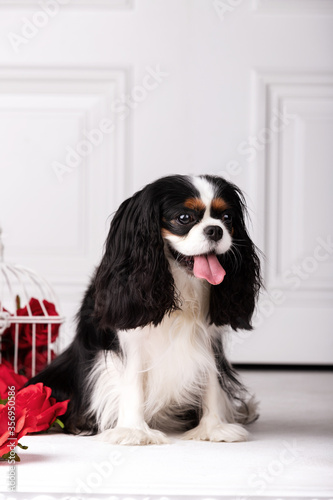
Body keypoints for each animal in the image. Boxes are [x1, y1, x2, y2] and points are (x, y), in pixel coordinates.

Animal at [28, 174, 260, 444]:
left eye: (227, 218)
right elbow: (133, 383)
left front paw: (214, 428)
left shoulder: (209, 341)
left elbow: (212, 382)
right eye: (184, 218)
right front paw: (133, 431)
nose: (215, 230)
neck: (180, 283)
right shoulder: (130, 341)